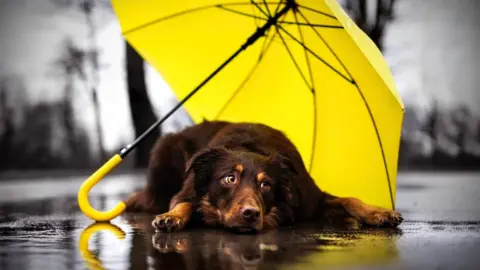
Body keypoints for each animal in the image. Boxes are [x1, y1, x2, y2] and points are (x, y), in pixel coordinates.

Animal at [124, 119, 402, 233]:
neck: (250, 147)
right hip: (163, 151)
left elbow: (349, 199)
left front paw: (378, 213)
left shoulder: (310, 199)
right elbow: (183, 202)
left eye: (266, 184)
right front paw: (172, 217)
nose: (250, 214)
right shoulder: (189, 188)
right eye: (230, 179)